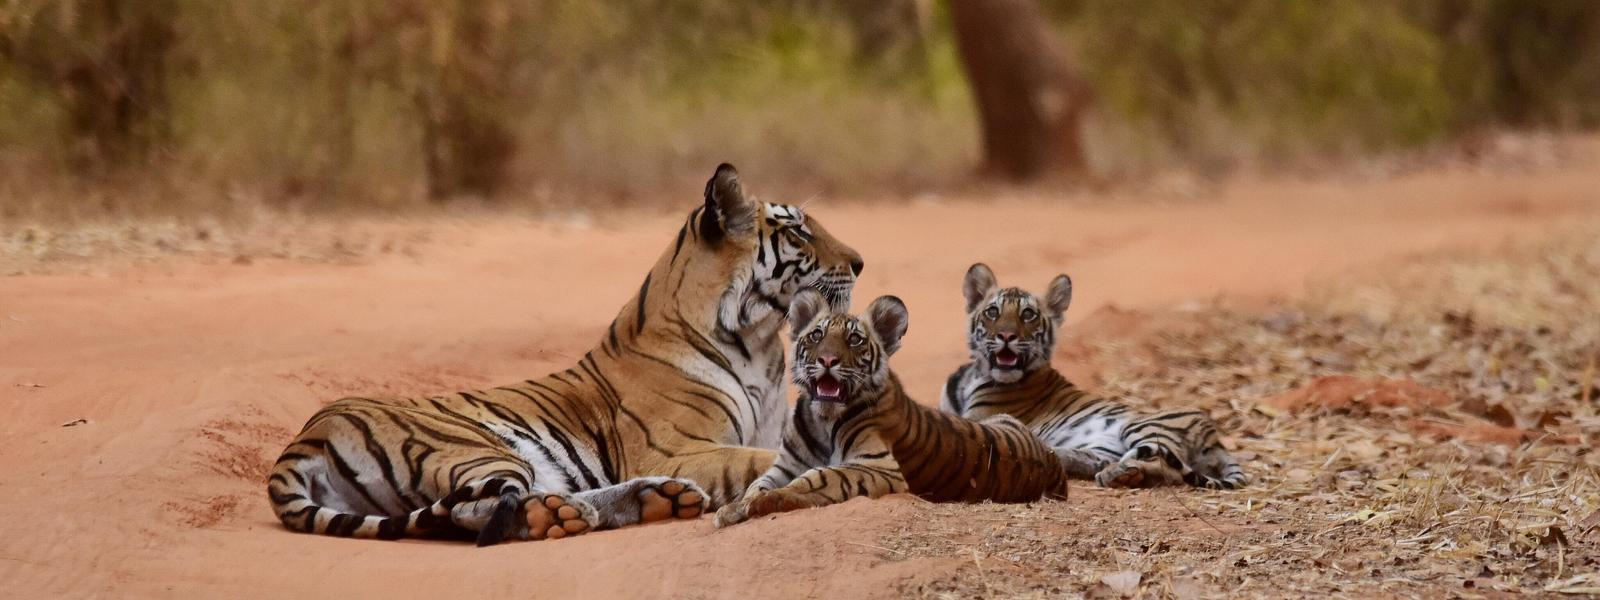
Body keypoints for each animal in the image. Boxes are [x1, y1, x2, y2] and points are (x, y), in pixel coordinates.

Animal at [266, 164, 865, 545]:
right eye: (798, 232)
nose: (860, 263)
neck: (760, 341)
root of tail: (304, 438)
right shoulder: (678, 448)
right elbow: (760, 461)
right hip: (475, 448)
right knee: (471, 511)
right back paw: (568, 515)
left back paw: (657, 501)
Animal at [715, 289, 1068, 527]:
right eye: (816, 335)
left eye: (854, 340)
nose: (827, 360)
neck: (822, 419)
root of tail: (1052, 460)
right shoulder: (785, 465)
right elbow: (757, 484)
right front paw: (735, 508)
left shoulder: (880, 466)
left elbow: (821, 476)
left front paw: (769, 501)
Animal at [940, 263, 1248, 489]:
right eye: (992, 312)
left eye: (1027, 314)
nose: (1006, 335)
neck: (975, 374)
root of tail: (1214, 437)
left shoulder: (980, 418)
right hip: (1104, 445)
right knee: (1097, 461)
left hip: (1143, 427)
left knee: (1160, 465)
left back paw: (1116, 473)